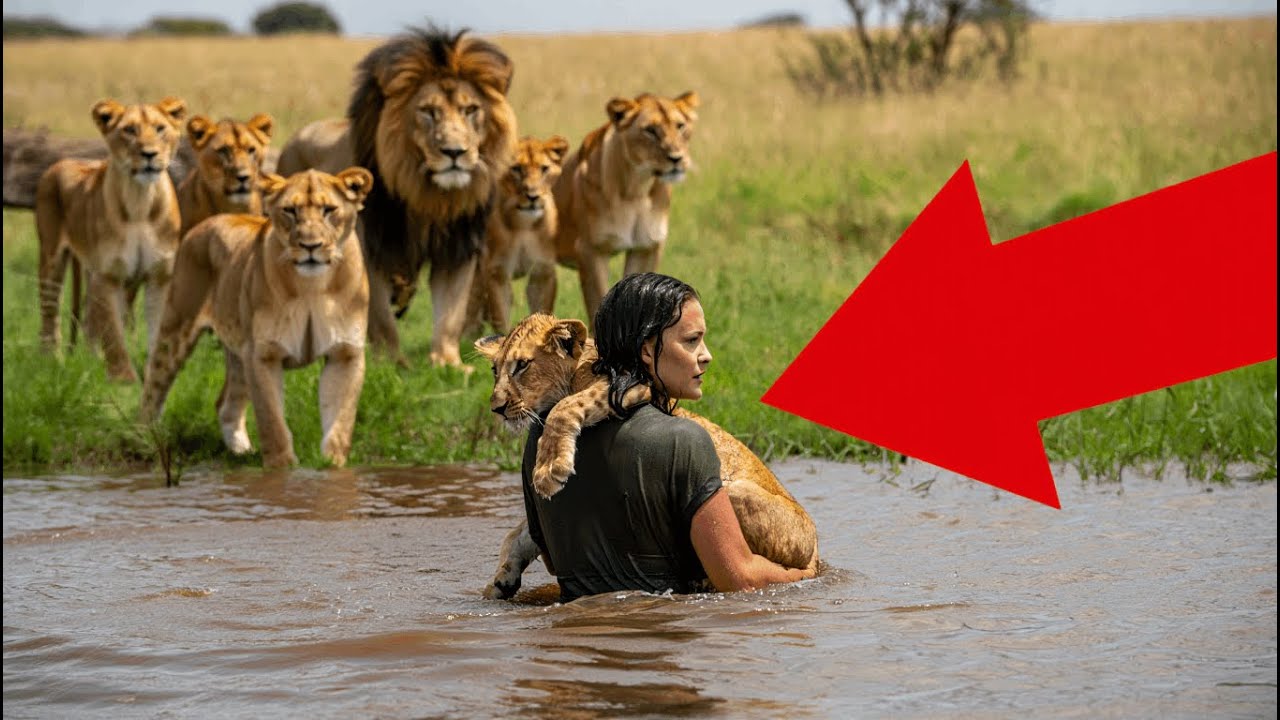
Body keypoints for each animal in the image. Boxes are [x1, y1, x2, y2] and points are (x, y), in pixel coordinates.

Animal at [36, 96, 187, 382]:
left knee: (89, 319)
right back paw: (52, 363)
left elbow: (157, 335)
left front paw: (153, 377)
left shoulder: (159, 277)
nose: (149, 154)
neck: (140, 202)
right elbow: (114, 337)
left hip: (90, 274)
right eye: (130, 130)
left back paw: (90, 362)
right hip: (51, 259)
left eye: (160, 128)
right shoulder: (109, 275)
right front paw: (124, 380)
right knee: (50, 313)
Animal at [139, 167, 374, 468]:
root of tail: (207, 222)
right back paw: (146, 441)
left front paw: (333, 466)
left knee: (226, 405)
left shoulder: (345, 354)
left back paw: (241, 451)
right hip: (178, 326)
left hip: (240, 353)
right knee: (153, 387)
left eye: (329, 210)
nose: (310, 246)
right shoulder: (263, 353)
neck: (312, 287)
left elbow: (340, 424)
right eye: (290, 211)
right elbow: (273, 422)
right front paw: (282, 470)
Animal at [274, 26, 518, 368]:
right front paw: (391, 364)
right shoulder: (370, 251)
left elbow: (450, 313)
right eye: (428, 112)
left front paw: (448, 363)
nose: (455, 152)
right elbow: (381, 318)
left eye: (471, 110)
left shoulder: (457, 249)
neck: (428, 195)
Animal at [465, 135, 570, 335]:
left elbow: (542, 311)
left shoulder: (542, 272)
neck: (524, 227)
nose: (532, 196)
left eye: (544, 168)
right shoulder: (497, 273)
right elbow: (500, 320)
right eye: (516, 169)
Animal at [552, 92, 699, 326]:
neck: (636, 191)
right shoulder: (591, 251)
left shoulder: (645, 247)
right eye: (650, 130)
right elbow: (597, 305)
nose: (677, 158)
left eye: (680, 126)